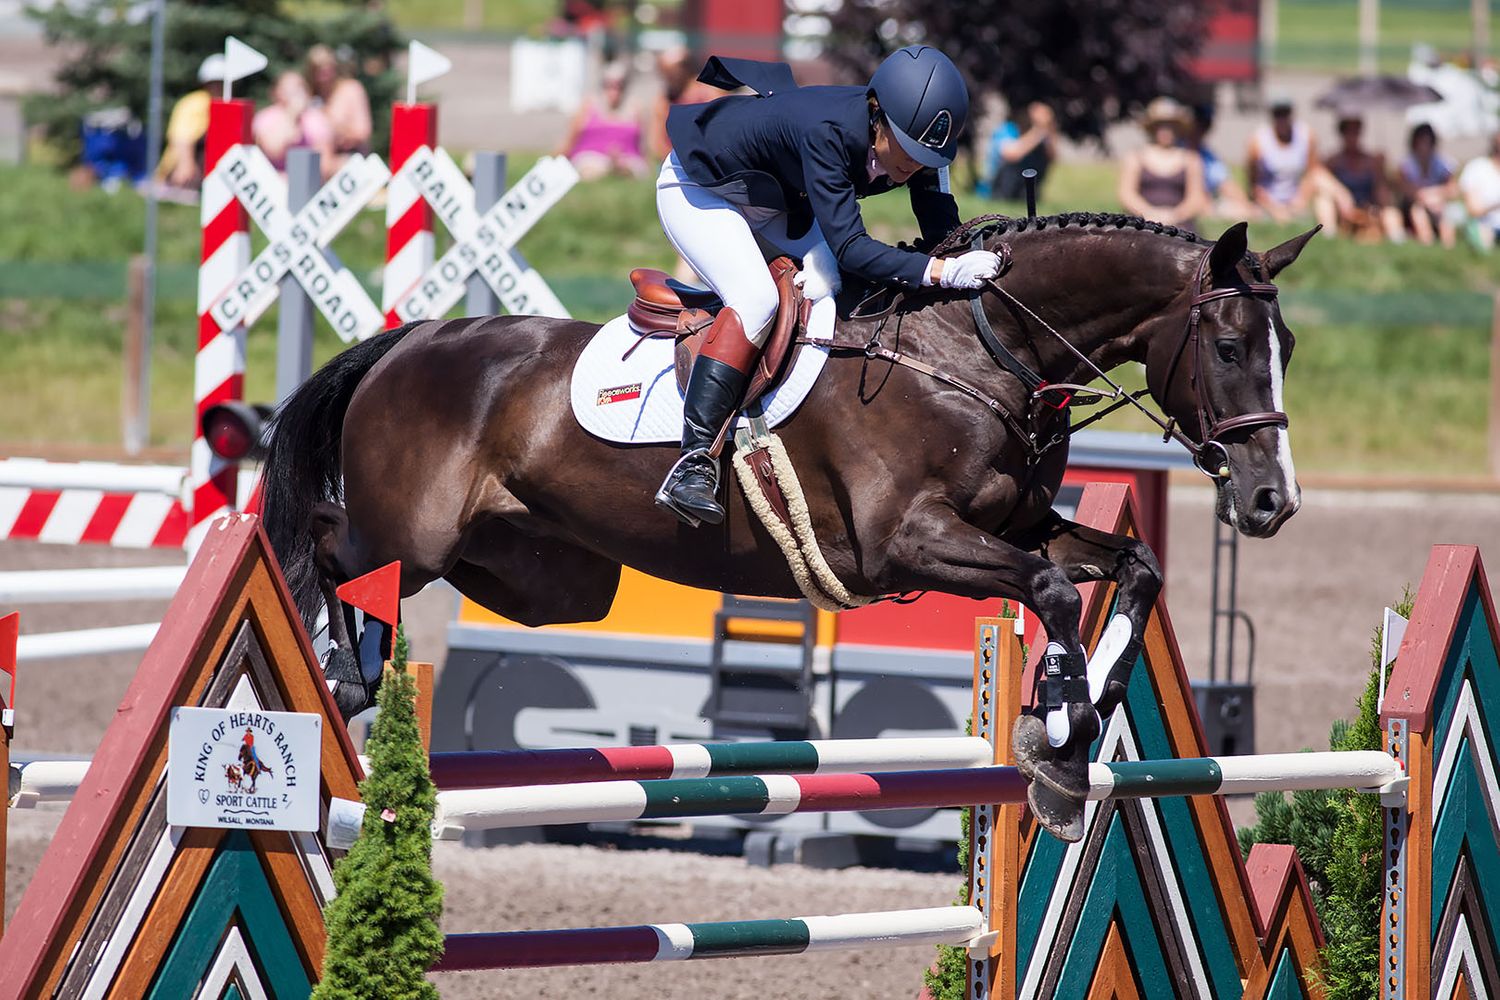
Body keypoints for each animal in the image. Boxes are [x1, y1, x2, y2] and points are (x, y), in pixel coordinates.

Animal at [261, 213, 1314, 841]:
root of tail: (415, 340)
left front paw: (1069, 734)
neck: (978, 353)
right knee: (322, 544)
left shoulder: (1017, 526)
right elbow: (1054, 591)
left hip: (537, 576)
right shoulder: (909, 543)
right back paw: (339, 670)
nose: (1273, 503)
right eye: (1229, 347)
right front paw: (1060, 729)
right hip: (416, 539)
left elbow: (1131, 568)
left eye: (1288, 345)